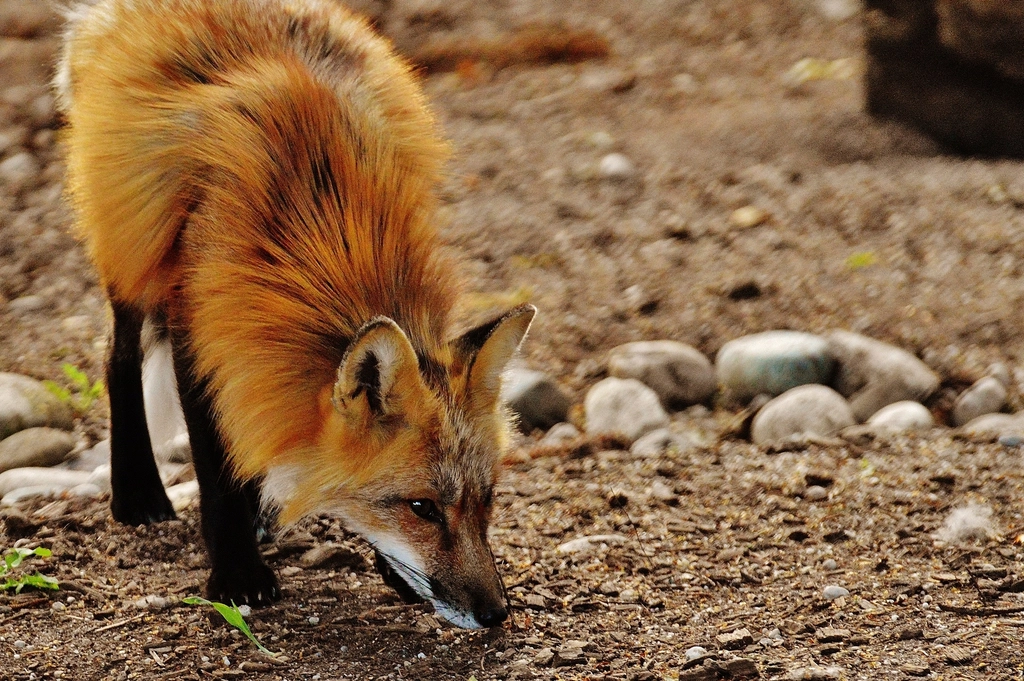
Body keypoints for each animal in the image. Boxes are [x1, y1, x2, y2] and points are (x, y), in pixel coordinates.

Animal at [55, 0, 535, 629]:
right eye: (421, 507)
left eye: (488, 498)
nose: (496, 613)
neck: (328, 224)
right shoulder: (202, 324)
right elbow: (218, 464)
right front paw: (237, 572)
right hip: (130, 244)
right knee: (116, 358)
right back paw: (137, 493)